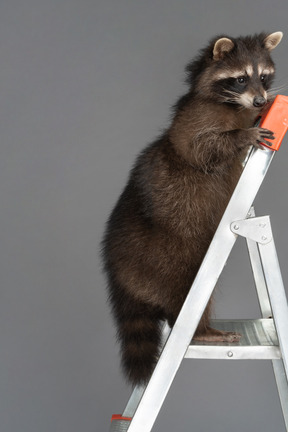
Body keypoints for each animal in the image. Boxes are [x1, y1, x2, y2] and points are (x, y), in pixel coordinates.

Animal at [101, 32, 284, 386]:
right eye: (241, 79)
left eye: (264, 76)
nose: (260, 102)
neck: (234, 103)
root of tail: (122, 276)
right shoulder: (195, 119)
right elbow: (201, 148)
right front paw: (242, 134)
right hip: (171, 261)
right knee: (185, 295)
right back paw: (202, 331)